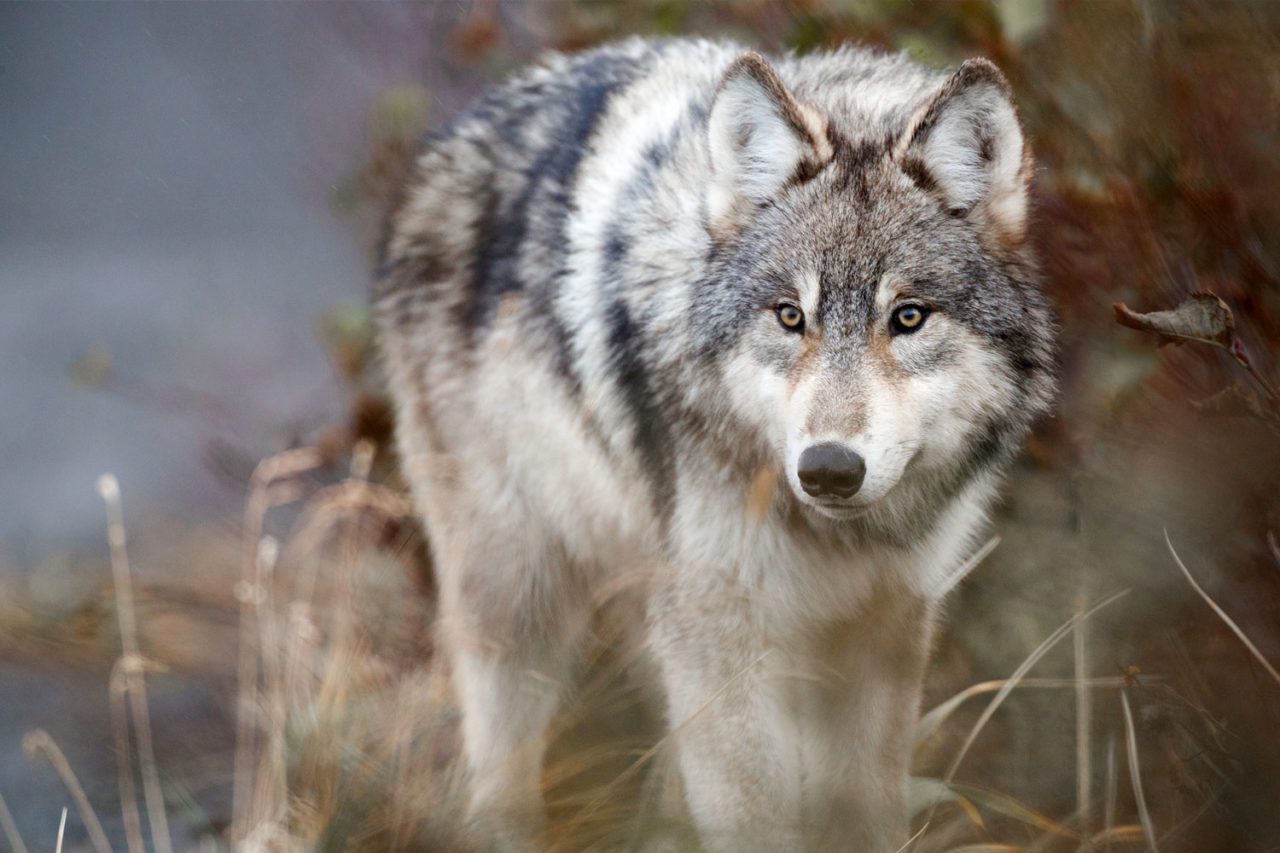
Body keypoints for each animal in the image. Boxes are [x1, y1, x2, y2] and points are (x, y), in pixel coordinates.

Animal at [373, 38, 1054, 850]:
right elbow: (754, 819)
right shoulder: (721, 641)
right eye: (790, 316)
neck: (836, 539)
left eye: (909, 317)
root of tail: (452, 139)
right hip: (521, 601)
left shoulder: (883, 626)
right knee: (496, 787)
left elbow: (863, 814)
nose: (828, 470)